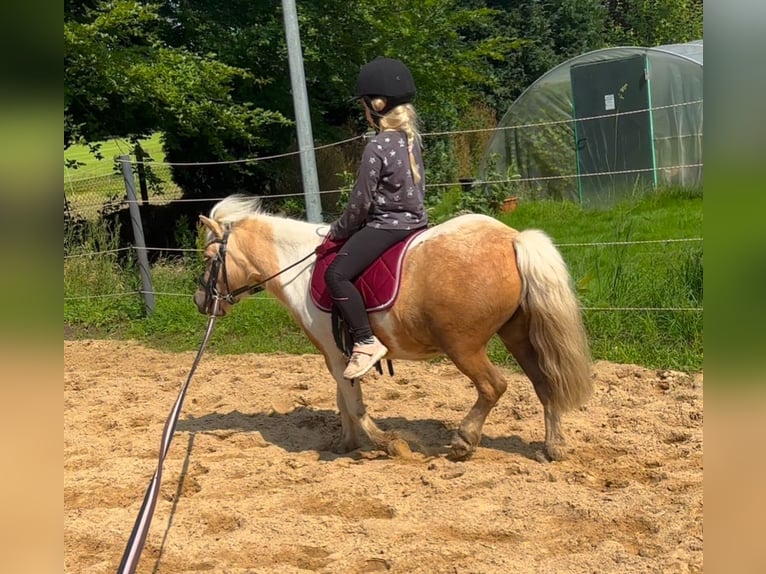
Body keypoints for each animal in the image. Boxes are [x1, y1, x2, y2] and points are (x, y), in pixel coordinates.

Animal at [196, 197, 592, 464]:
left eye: (209, 258)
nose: (201, 300)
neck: (302, 268)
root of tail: (512, 238)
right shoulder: (339, 356)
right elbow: (343, 400)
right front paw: (345, 445)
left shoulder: (335, 354)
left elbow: (355, 405)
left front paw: (388, 443)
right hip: (517, 335)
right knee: (545, 384)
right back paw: (553, 447)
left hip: (464, 346)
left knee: (493, 387)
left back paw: (464, 441)